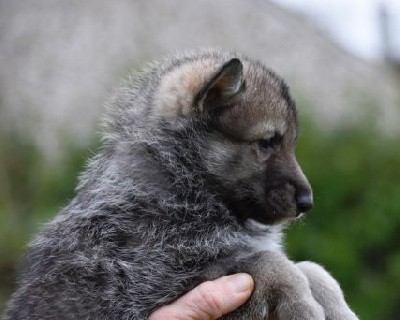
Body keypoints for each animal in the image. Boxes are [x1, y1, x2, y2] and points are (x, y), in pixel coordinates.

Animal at [5, 51, 356, 318]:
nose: (307, 203)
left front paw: (339, 308)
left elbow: (311, 268)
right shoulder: (159, 278)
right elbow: (272, 263)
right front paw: (302, 307)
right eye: (268, 142)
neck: (181, 180)